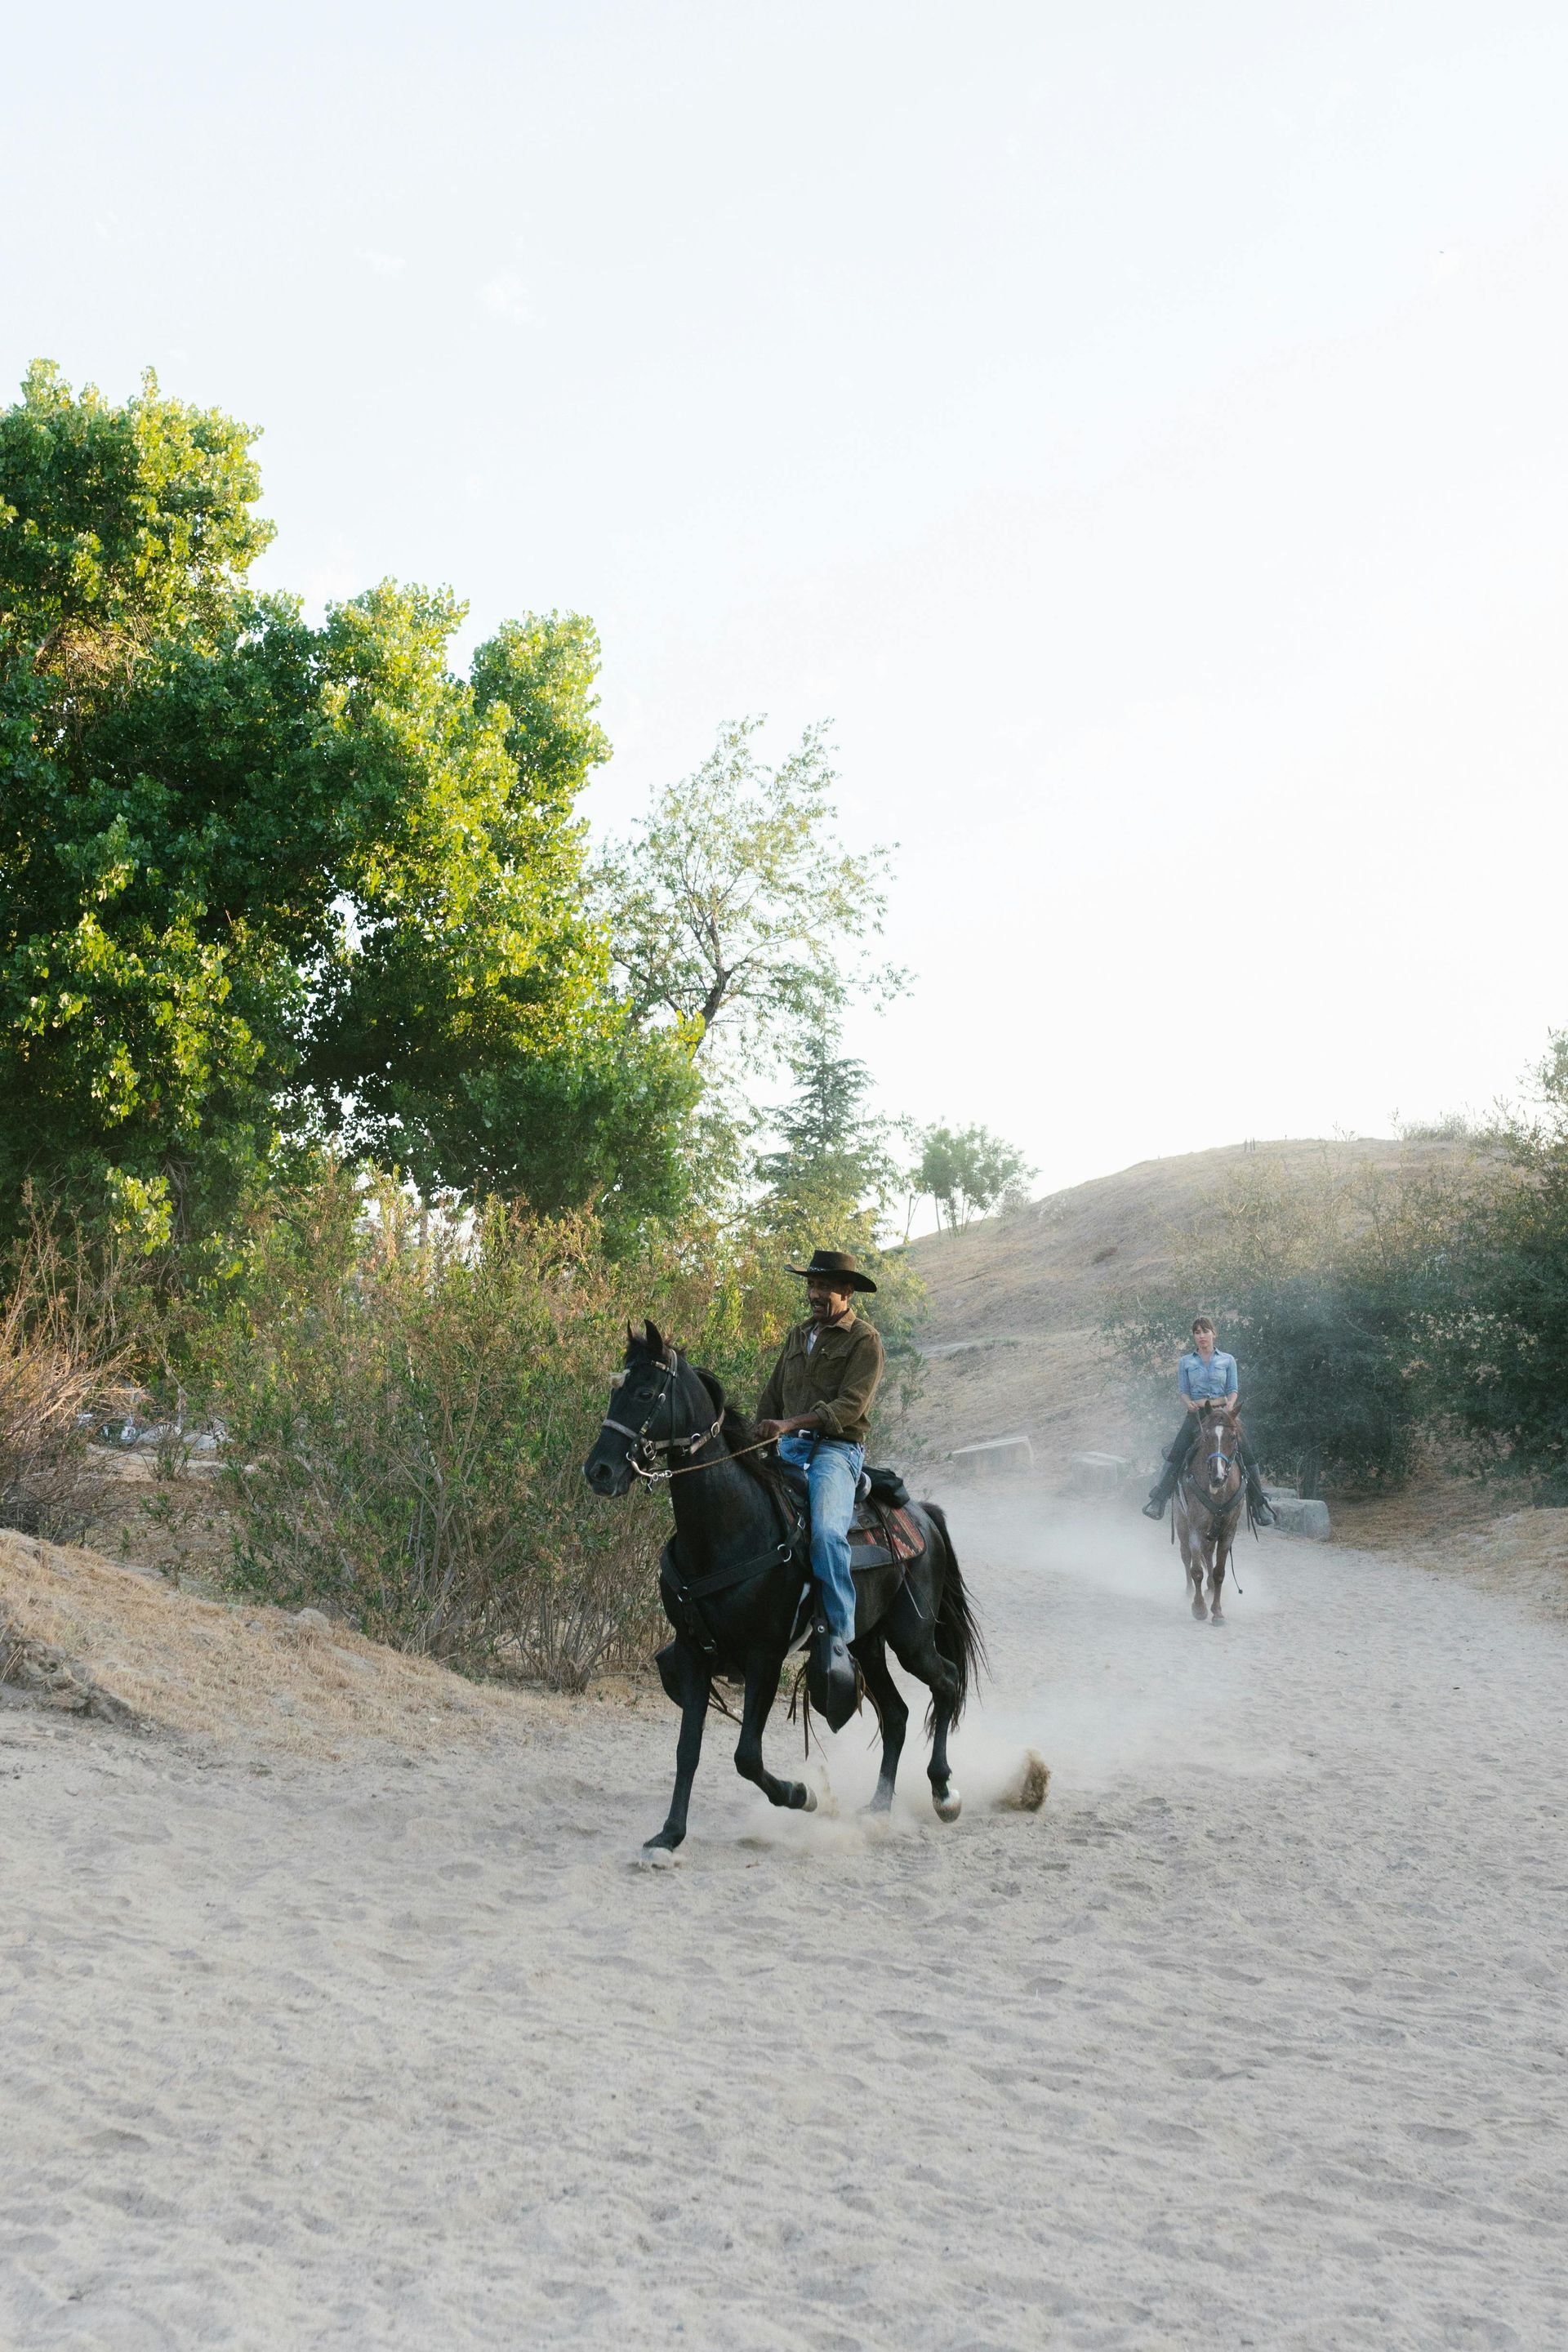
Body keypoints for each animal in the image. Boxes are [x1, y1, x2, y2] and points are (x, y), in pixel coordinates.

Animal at [583, 1321, 986, 1853]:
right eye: (617, 1389)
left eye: (646, 1392)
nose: (600, 1471)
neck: (728, 1529)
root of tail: (922, 1514)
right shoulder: (693, 1653)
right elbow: (687, 1749)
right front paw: (669, 1835)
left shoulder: (764, 1655)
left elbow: (747, 1756)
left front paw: (801, 1795)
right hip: (867, 1642)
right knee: (897, 1714)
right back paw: (878, 1808)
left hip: (911, 1639)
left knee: (946, 1681)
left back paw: (943, 1792)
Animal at [1173, 1399, 1248, 1623]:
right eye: (1206, 1437)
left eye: (1233, 1437)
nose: (1218, 1476)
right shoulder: (1196, 1528)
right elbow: (1196, 1570)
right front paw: (1199, 1608)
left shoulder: (1228, 1532)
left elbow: (1219, 1572)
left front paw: (1218, 1612)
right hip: (1181, 1523)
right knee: (1186, 1555)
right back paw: (1190, 1591)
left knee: (1208, 1554)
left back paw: (1210, 1588)